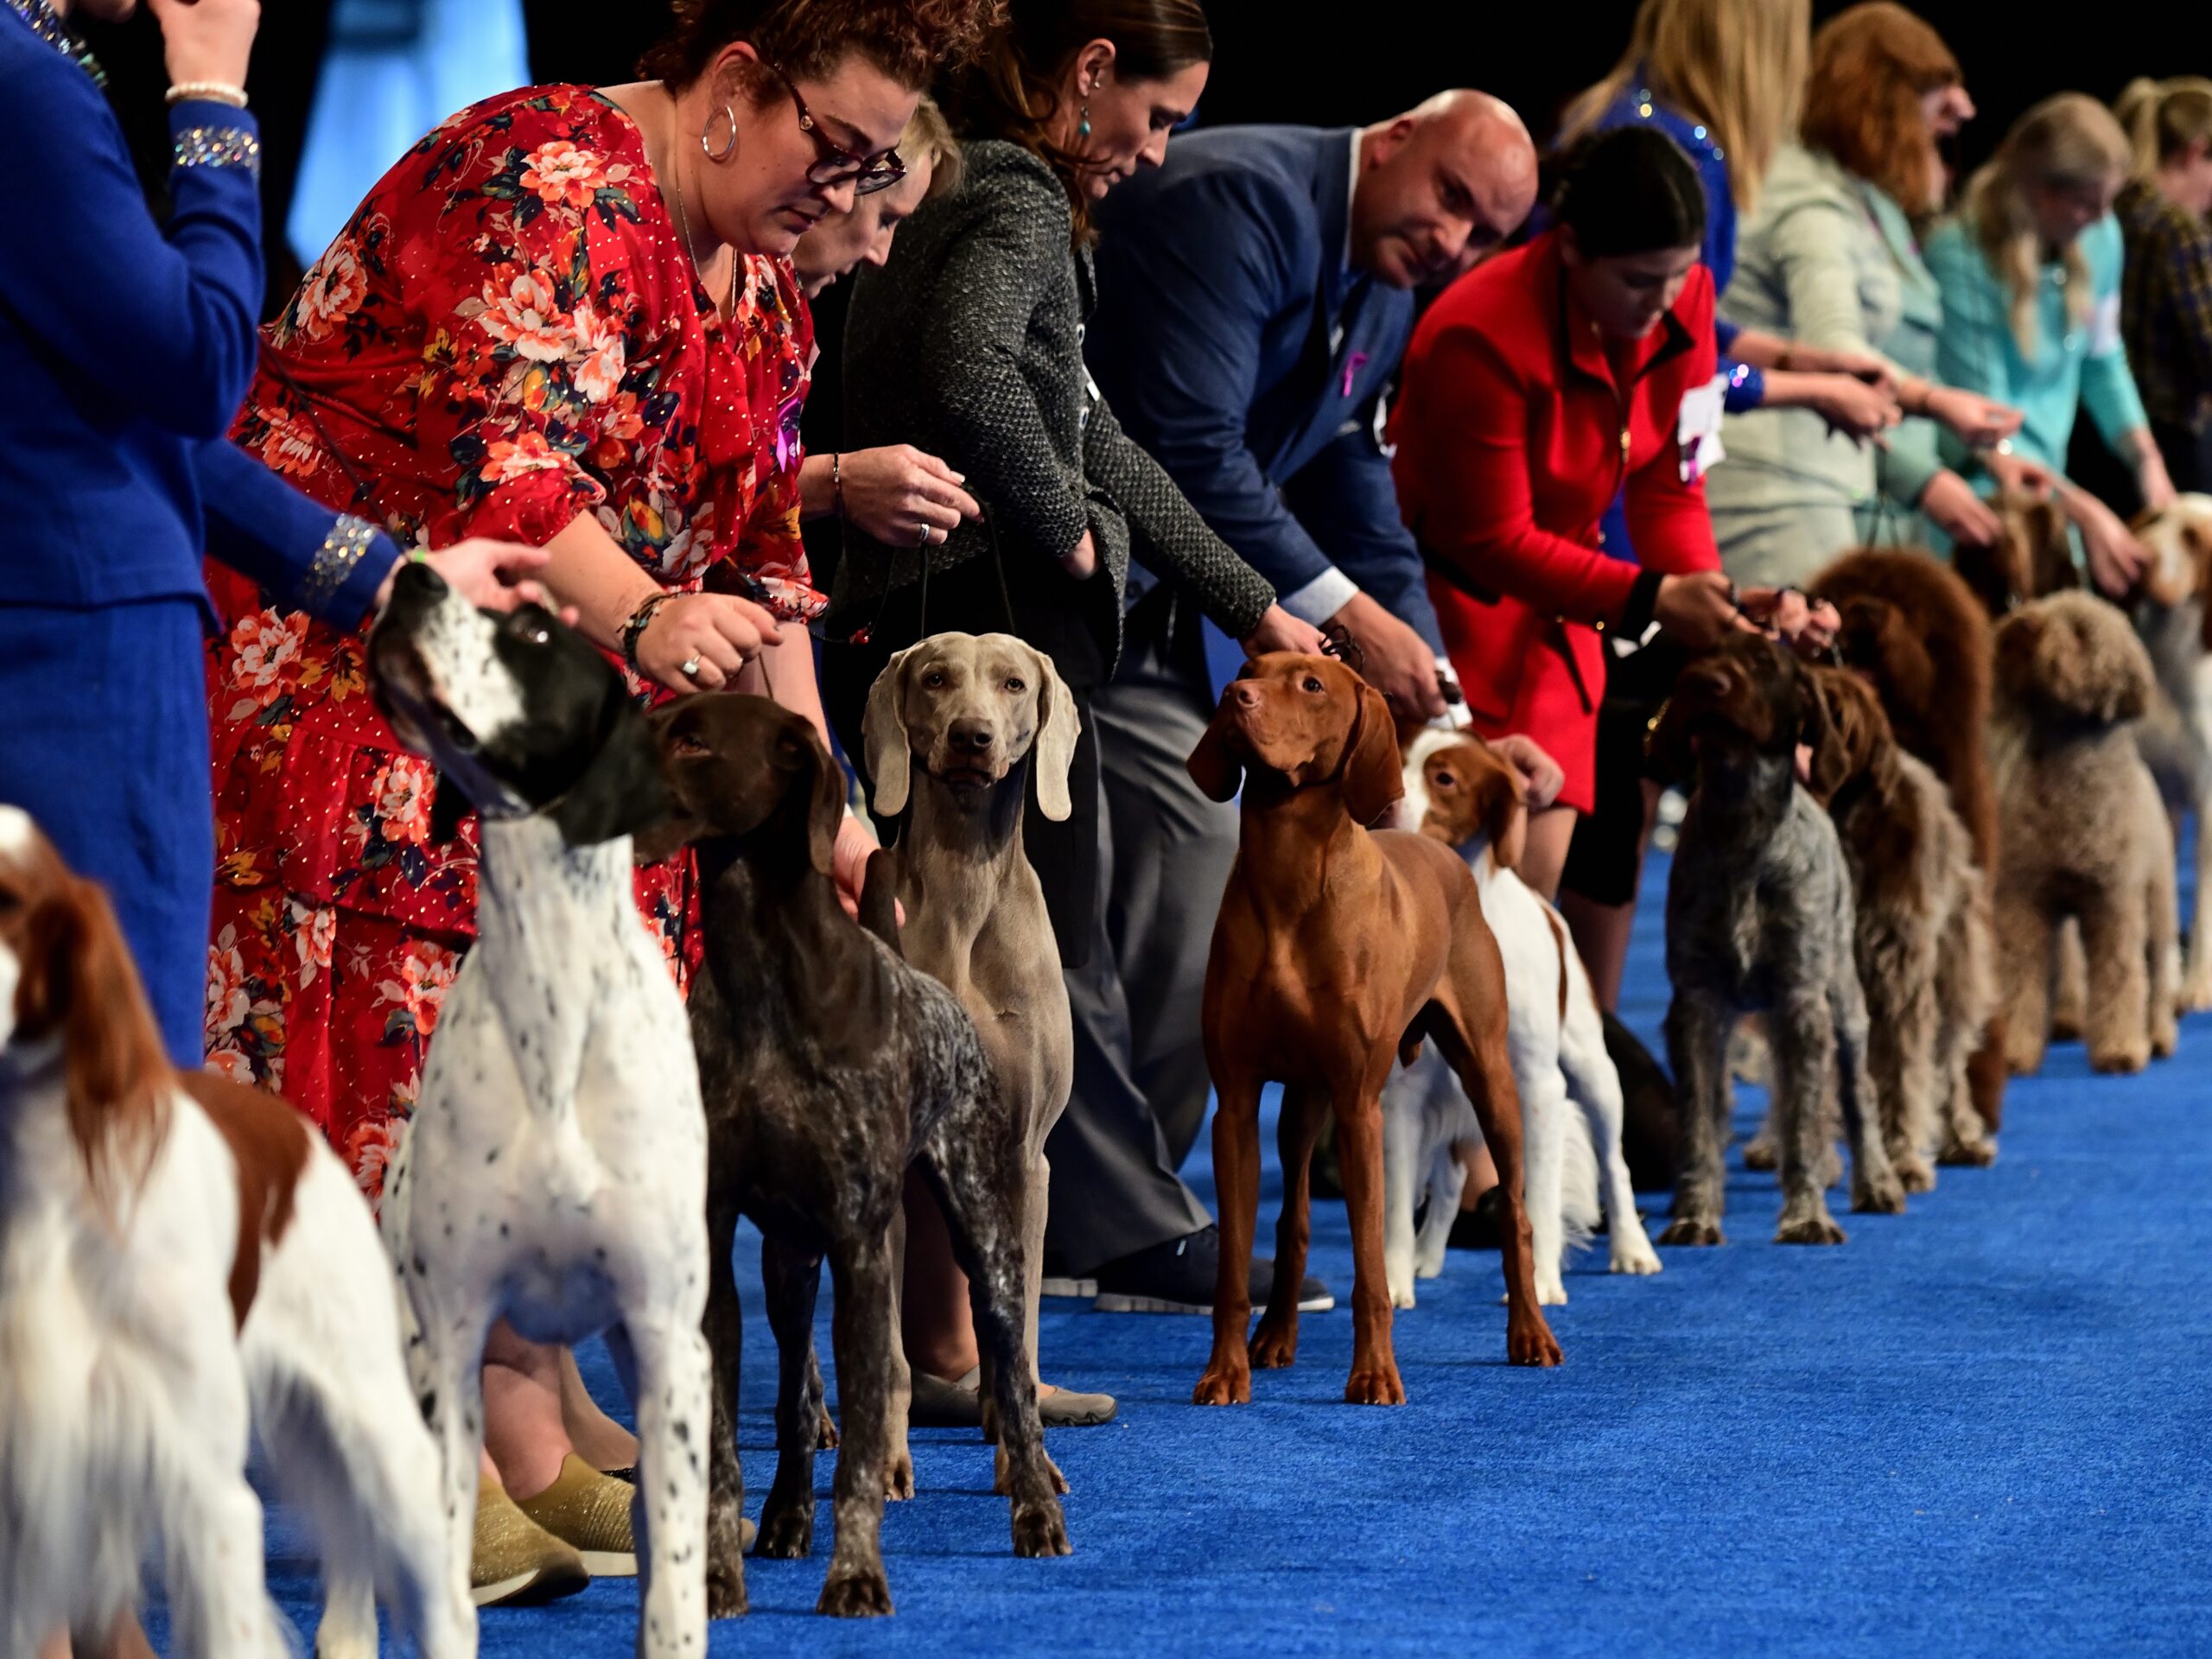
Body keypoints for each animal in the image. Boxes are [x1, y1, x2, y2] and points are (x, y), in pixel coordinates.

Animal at [1194, 650, 1557, 1407]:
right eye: (1249, 663)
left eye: (1311, 684)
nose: (1234, 695)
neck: (1288, 882)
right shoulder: (1237, 1105)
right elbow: (1235, 1269)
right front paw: (1225, 1372)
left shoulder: (1362, 1107)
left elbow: (1371, 1270)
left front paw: (1374, 1375)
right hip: (1303, 1105)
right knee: (1295, 1220)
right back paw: (1275, 1338)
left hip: (1491, 1078)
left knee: (1517, 1213)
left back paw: (1531, 1334)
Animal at [1380, 734, 1663, 1309]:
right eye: (1399, 752)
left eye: (1444, 778)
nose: (1387, 800)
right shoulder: (1407, 1091)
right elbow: (1398, 1203)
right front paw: (1394, 1282)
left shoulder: (1536, 1086)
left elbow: (1541, 1196)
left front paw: (1540, 1283)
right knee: (1449, 1179)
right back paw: (1427, 1258)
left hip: (1595, 1073)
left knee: (1614, 1164)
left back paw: (1632, 1247)